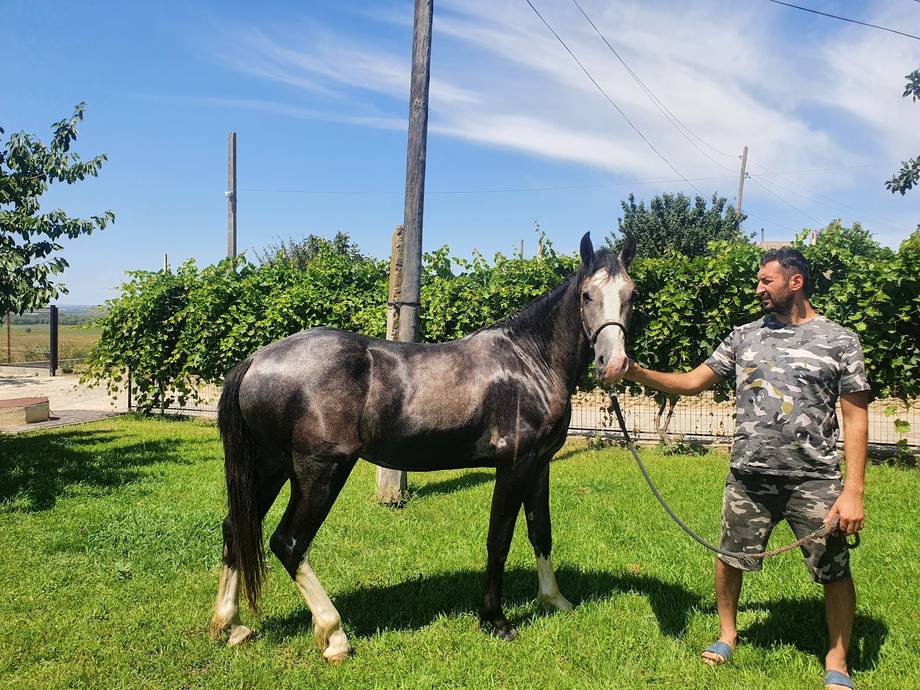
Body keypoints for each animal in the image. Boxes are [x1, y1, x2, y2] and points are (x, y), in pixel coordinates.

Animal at [209, 231, 637, 662]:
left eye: (631, 294)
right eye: (586, 295)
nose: (614, 364)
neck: (529, 361)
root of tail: (256, 360)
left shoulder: (539, 465)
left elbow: (541, 532)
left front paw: (554, 600)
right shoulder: (514, 465)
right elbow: (498, 540)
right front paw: (495, 620)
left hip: (269, 467)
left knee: (235, 527)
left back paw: (230, 626)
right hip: (320, 473)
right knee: (289, 544)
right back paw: (334, 634)